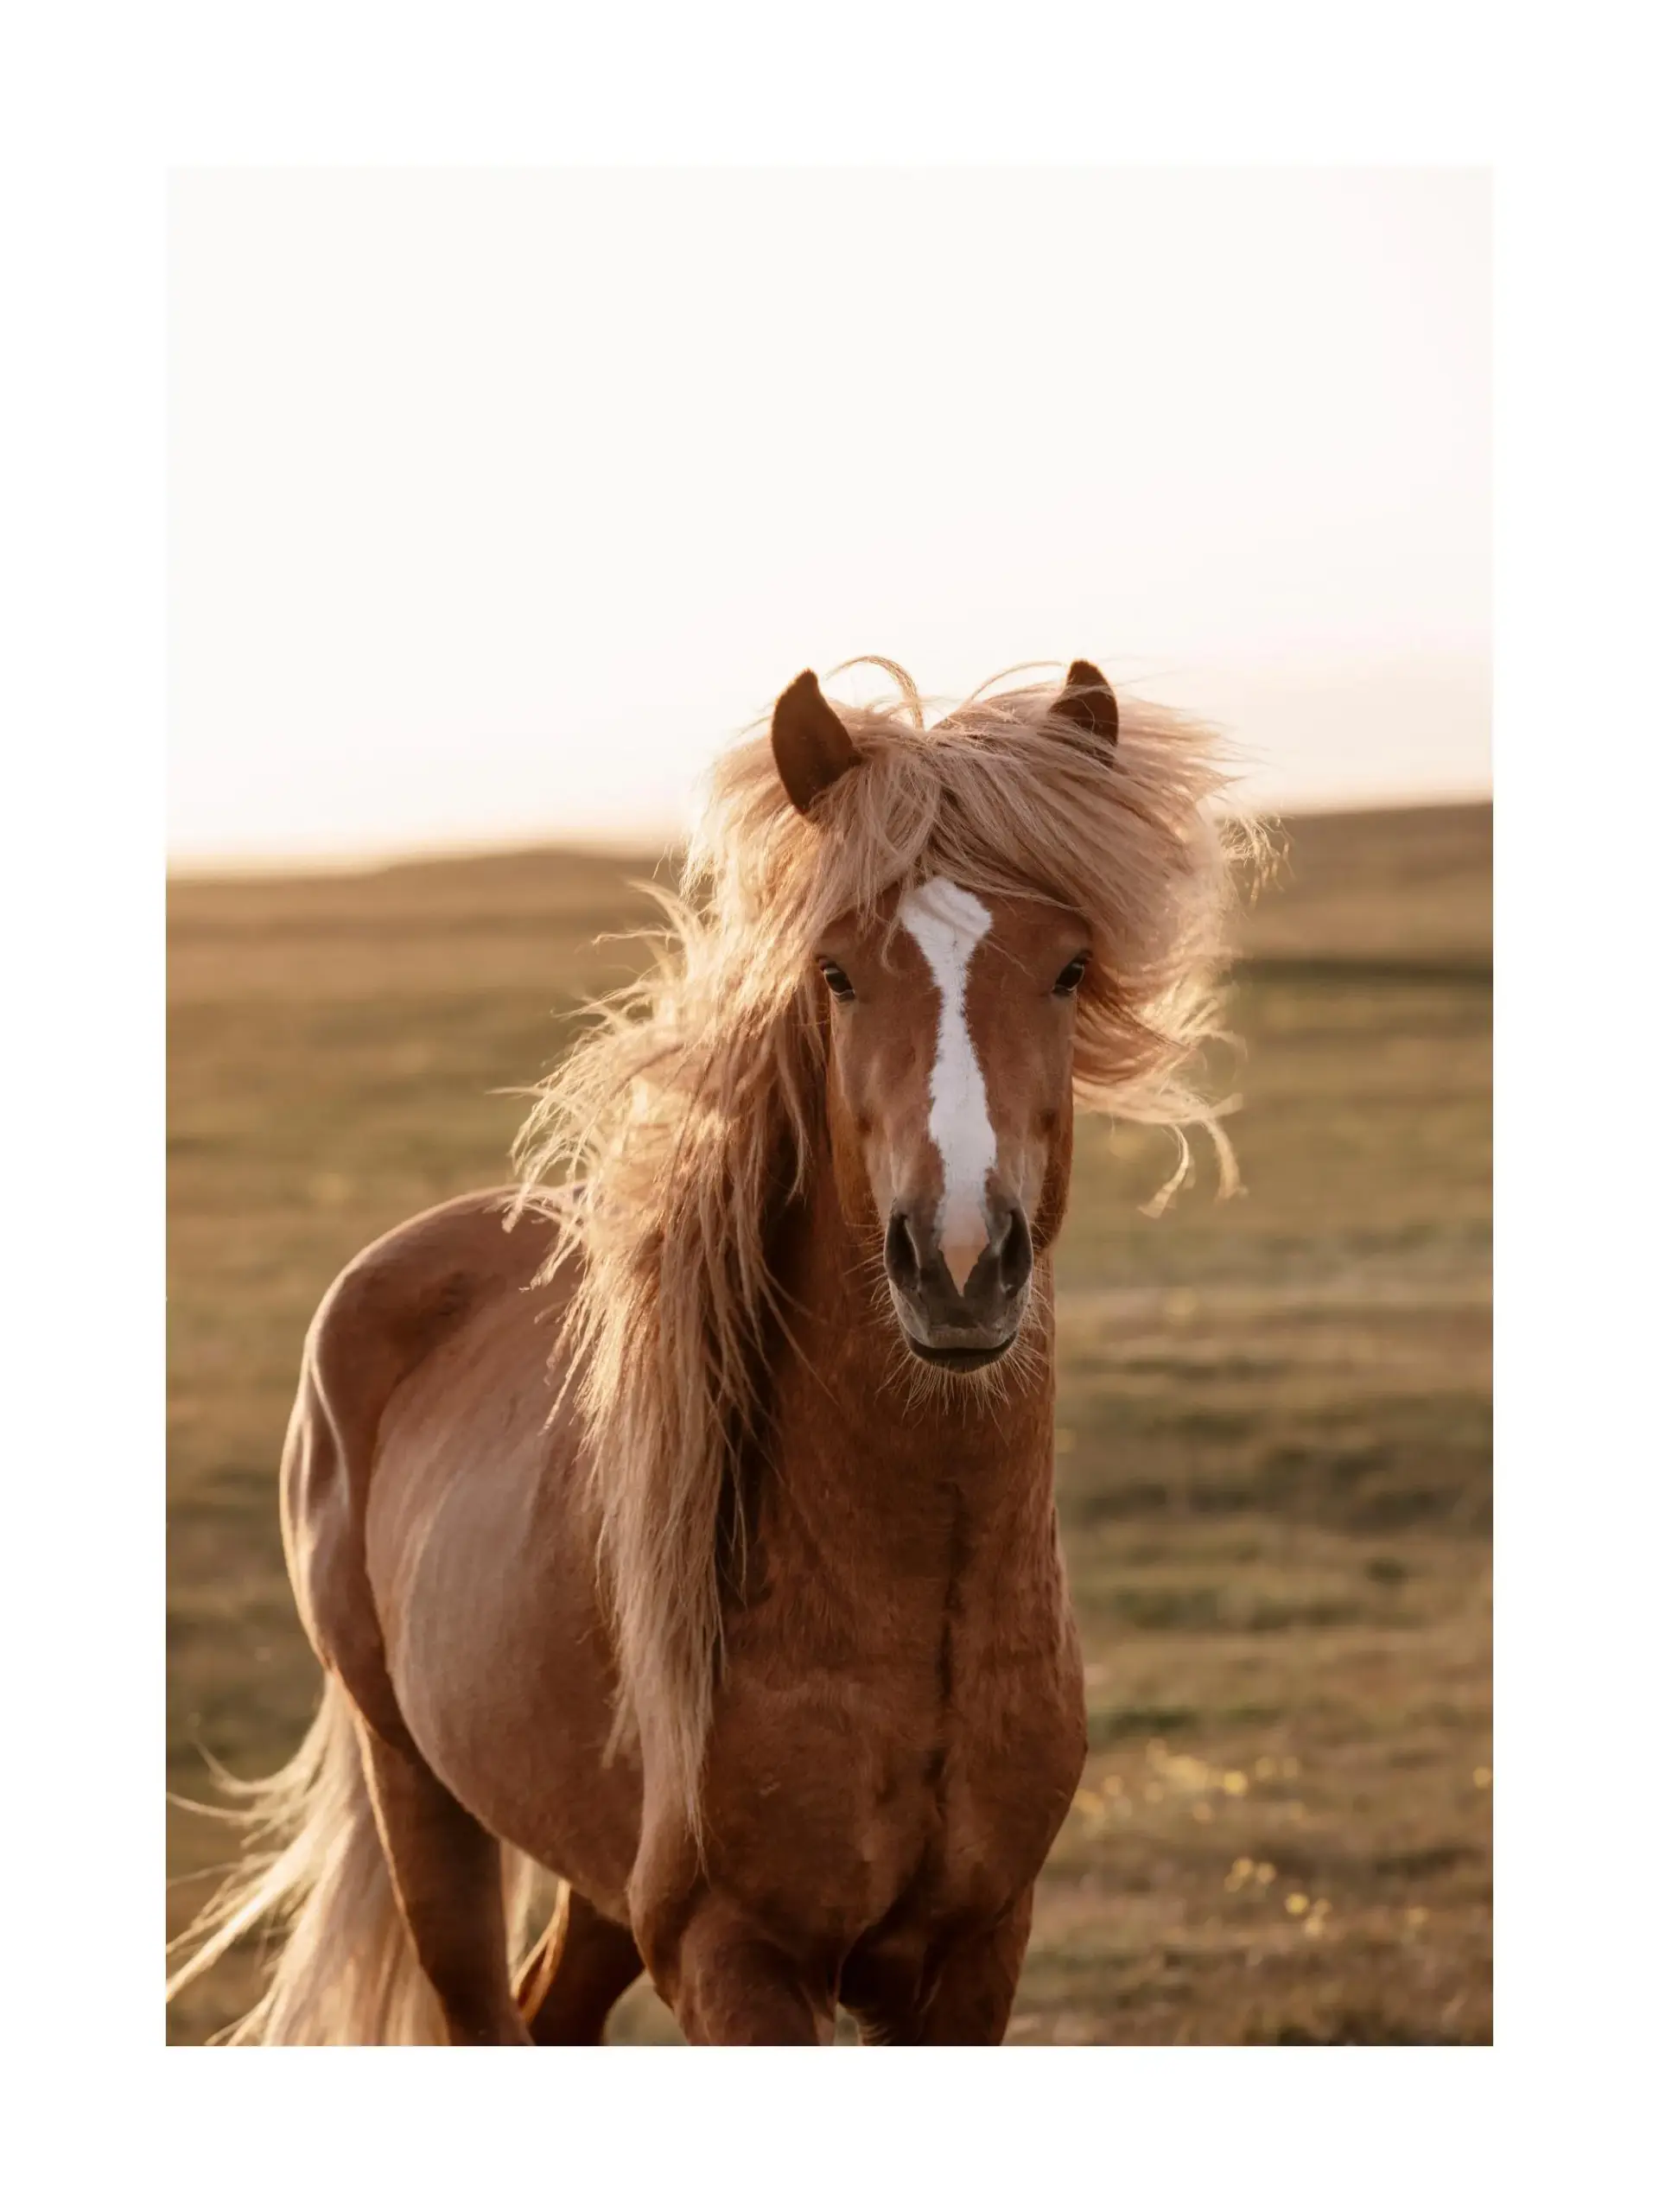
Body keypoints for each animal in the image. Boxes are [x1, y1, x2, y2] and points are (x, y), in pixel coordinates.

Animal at [168, 656, 1247, 2044]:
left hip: (598, 1883)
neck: (907, 1606)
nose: (960, 1259)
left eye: (1068, 968)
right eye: (836, 972)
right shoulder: (732, 1954)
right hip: (423, 1796)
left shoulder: (973, 1953)